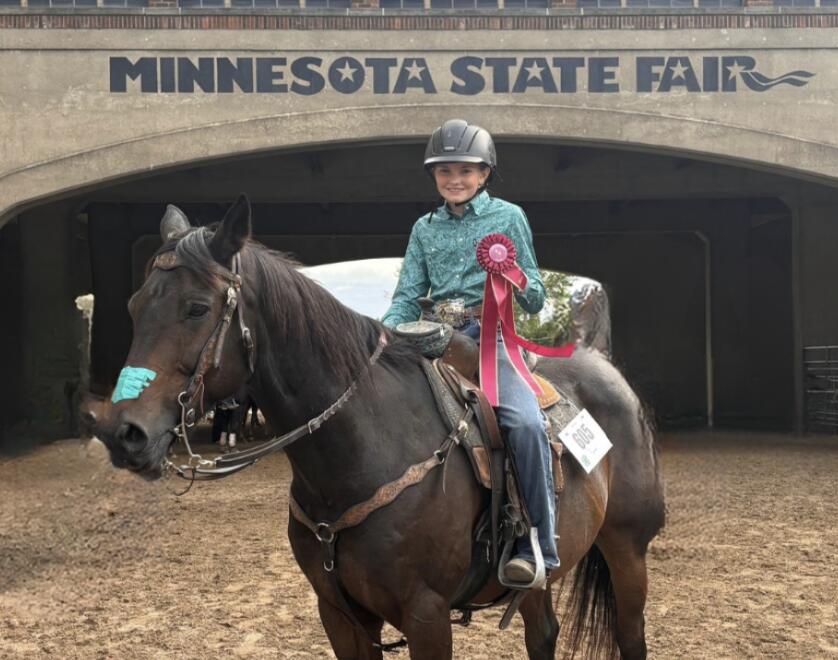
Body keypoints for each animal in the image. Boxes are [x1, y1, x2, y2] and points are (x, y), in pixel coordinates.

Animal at [94, 195, 665, 659]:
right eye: (134, 304)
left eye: (196, 308)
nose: (123, 432)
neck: (362, 450)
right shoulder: (340, 616)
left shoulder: (427, 616)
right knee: (543, 635)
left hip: (627, 549)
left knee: (631, 638)